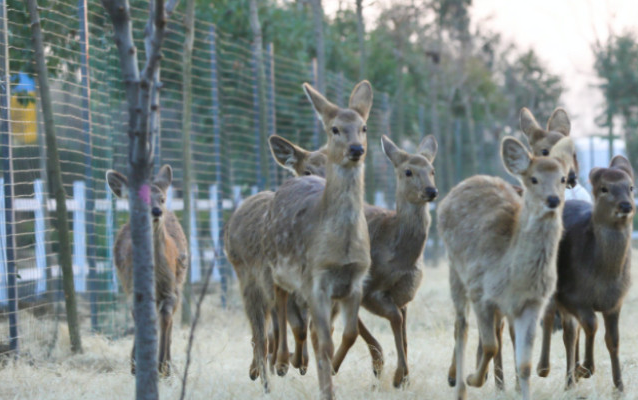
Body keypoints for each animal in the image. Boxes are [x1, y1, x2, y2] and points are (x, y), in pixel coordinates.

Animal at [106, 164, 188, 376]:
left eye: (162, 198)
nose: (156, 211)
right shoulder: (132, 288)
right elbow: (140, 317)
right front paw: (137, 364)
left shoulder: (171, 289)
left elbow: (166, 318)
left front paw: (163, 366)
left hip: (180, 282)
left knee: (169, 320)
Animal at [224, 134, 328, 390]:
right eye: (307, 170)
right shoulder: (275, 280)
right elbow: (295, 325)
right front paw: (286, 363)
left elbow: (305, 325)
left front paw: (300, 362)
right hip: (247, 278)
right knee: (259, 332)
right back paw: (264, 378)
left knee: (269, 328)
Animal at [264, 79, 376, 398]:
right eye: (335, 128)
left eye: (364, 127)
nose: (356, 148)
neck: (342, 248)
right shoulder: (315, 279)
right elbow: (321, 339)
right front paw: (326, 389)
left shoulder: (356, 280)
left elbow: (348, 334)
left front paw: (333, 369)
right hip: (275, 264)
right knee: (280, 303)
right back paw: (282, 362)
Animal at [440, 132, 576, 400]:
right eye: (533, 179)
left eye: (562, 178)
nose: (553, 199)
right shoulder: (480, 291)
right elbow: (490, 345)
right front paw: (472, 378)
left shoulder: (533, 303)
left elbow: (525, 364)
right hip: (454, 269)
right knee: (460, 326)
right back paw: (460, 388)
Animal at [536, 155, 636, 390]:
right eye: (604, 188)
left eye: (630, 187)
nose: (626, 205)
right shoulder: (572, 295)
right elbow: (591, 323)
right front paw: (586, 368)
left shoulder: (616, 301)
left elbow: (613, 340)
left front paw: (619, 386)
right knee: (550, 317)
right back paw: (544, 368)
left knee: (570, 332)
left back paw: (569, 382)